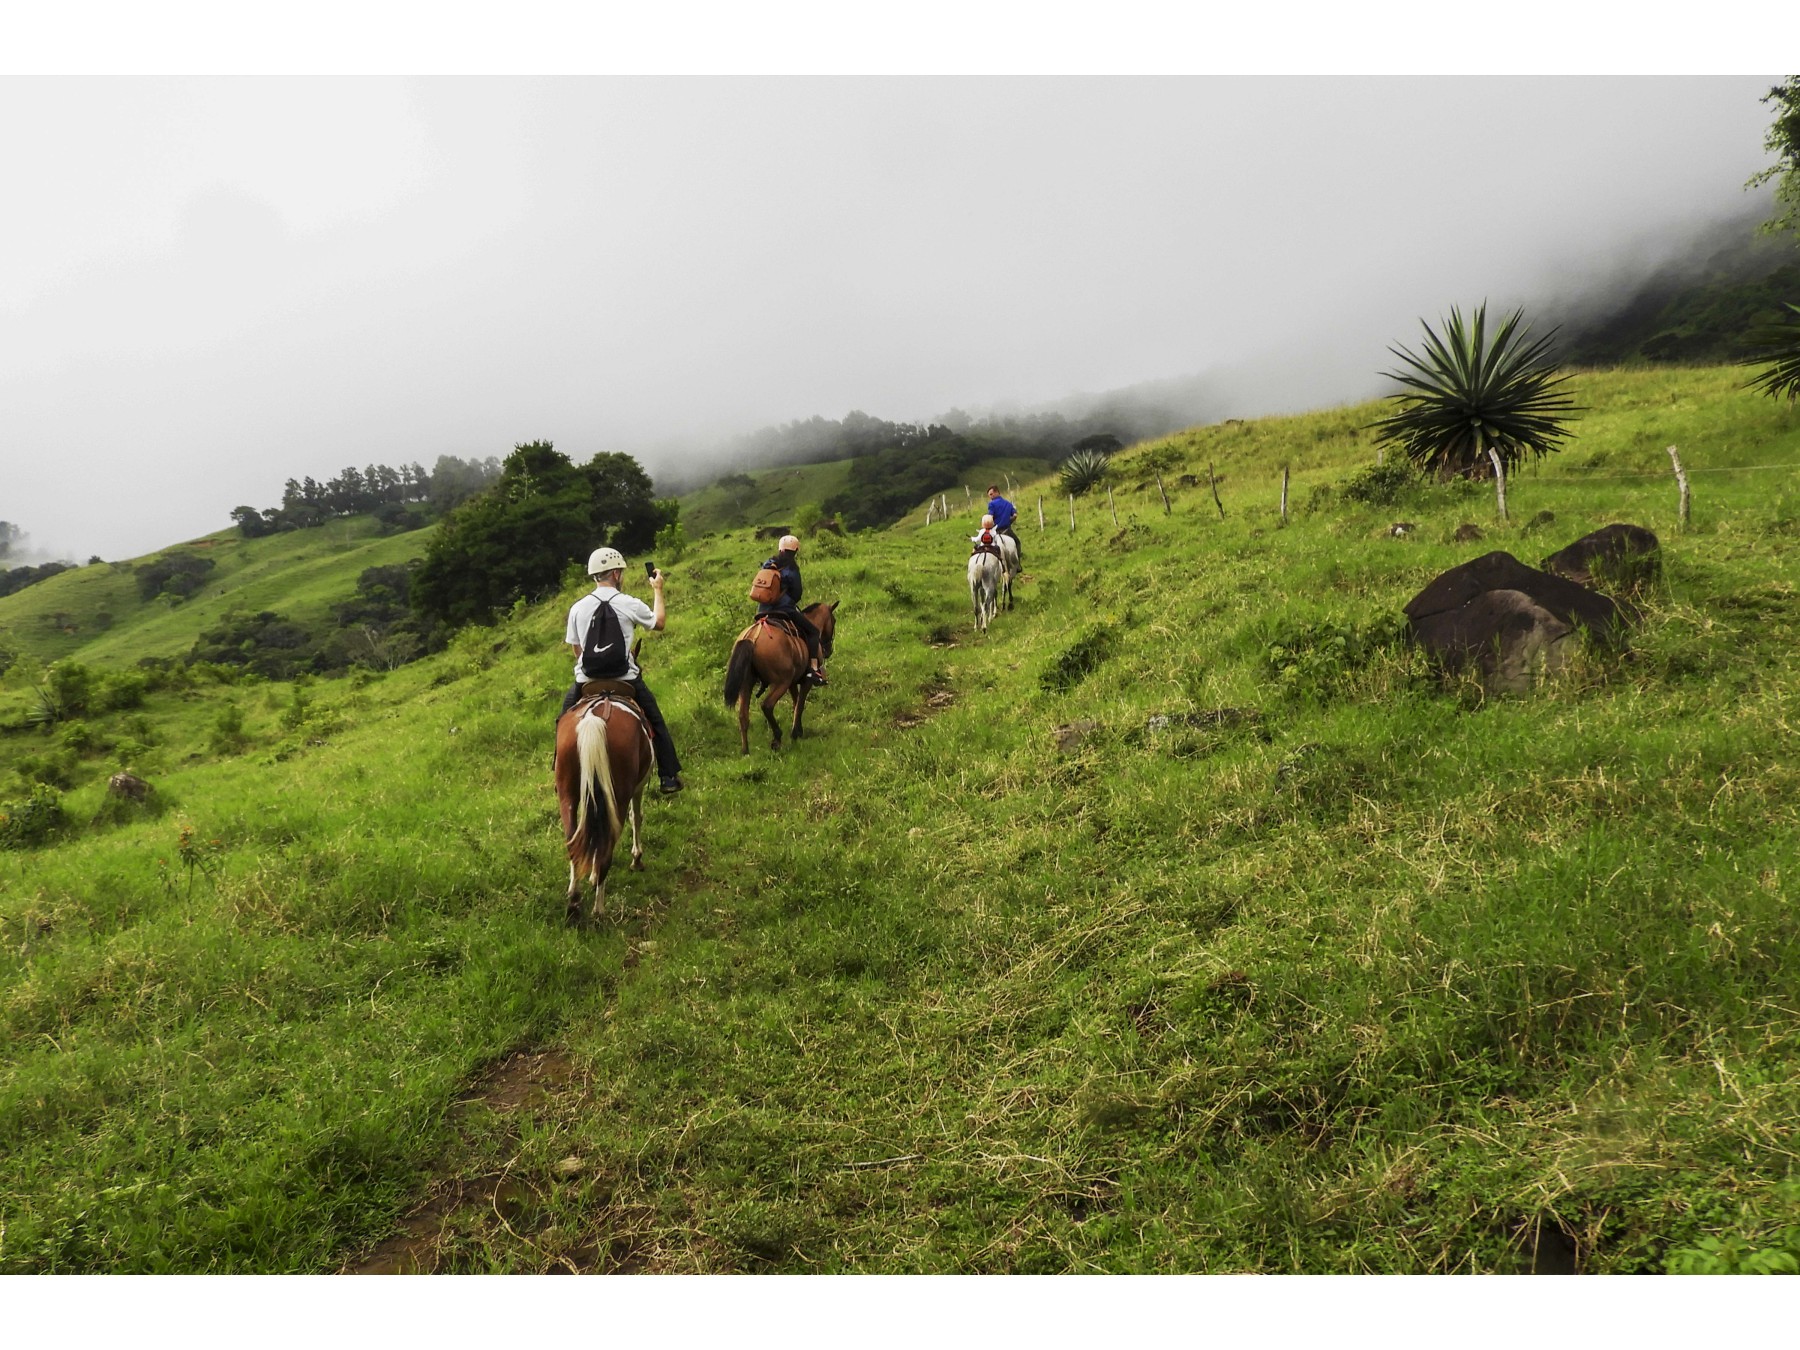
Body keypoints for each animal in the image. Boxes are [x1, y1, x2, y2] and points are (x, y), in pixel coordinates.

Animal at [558, 687, 658, 928]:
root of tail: (593, 721)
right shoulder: (637, 788)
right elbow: (636, 817)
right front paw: (637, 859)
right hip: (617, 798)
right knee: (605, 850)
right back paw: (598, 912)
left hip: (567, 796)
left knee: (573, 844)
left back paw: (574, 905)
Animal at [720, 604, 838, 756]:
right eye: (834, 621)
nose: (829, 650)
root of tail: (752, 637)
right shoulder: (805, 681)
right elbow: (800, 704)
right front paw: (795, 733)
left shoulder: (792, 682)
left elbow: (795, 703)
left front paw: (798, 729)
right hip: (781, 682)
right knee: (767, 705)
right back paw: (776, 738)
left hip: (747, 684)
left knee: (743, 715)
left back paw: (745, 751)